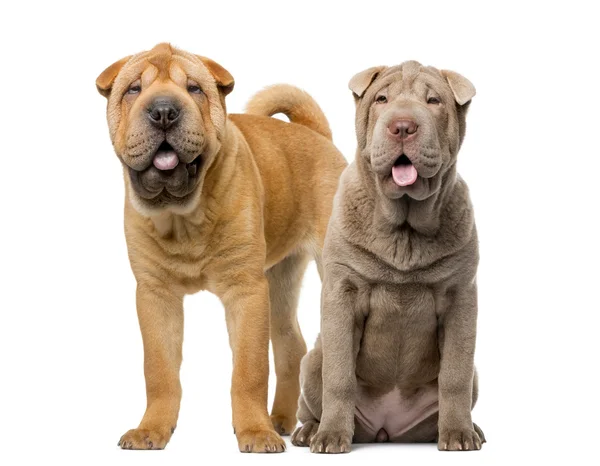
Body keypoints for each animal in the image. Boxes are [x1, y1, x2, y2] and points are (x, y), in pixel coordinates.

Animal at [95, 42, 344, 452]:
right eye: (133, 89)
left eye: (194, 88)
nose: (163, 111)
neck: (183, 217)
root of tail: (314, 133)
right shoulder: (155, 295)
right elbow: (159, 371)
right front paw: (151, 430)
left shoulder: (247, 292)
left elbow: (249, 370)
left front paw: (255, 433)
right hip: (280, 279)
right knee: (291, 345)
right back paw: (280, 420)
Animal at [292, 61, 486, 452]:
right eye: (381, 99)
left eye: (433, 101)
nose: (403, 126)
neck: (405, 230)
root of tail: (388, 429)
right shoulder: (342, 293)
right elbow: (339, 376)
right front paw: (332, 437)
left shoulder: (460, 296)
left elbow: (454, 374)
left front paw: (459, 434)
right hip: (312, 360)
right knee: (314, 392)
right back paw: (310, 431)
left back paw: (468, 428)